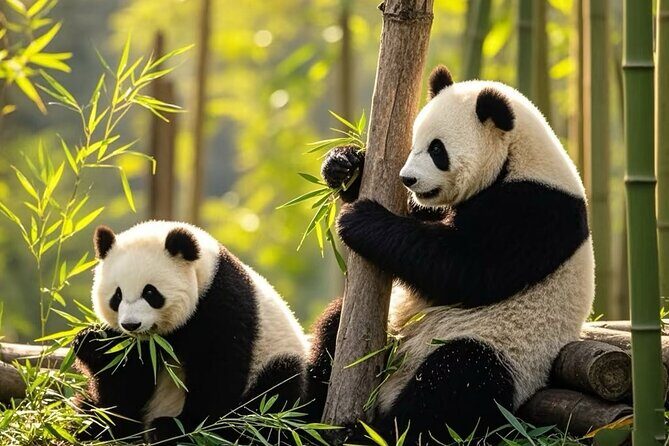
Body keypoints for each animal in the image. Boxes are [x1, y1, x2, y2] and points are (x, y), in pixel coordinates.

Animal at [73, 221, 308, 444]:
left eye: (150, 292)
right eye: (117, 296)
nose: (131, 324)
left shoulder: (222, 306)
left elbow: (217, 373)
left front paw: (176, 428)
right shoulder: (142, 348)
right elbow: (126, 381)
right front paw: (90, 342)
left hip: (272, 364)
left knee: (274, 396)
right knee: (86, 406)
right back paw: (88, 427)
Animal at [307, 66, 594, 443]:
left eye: (436, 150)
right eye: (413, 143)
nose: (408, 179)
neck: (518, 157)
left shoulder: (538, 210)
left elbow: (464, 269)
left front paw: (361, 219)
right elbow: (424, 219)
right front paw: (345, 165)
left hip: (507, 354)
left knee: (454, 384)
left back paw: (372, 433)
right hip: (394, 326)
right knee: (333, 328)